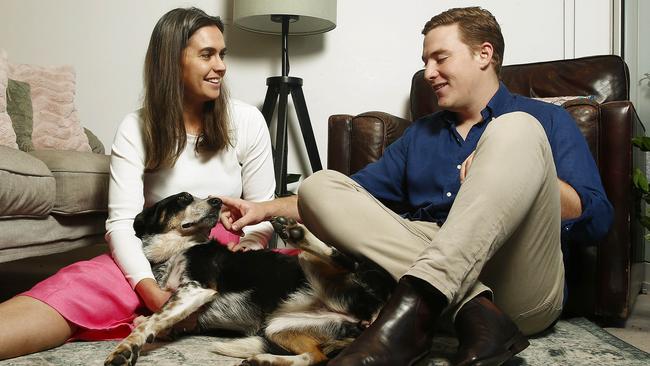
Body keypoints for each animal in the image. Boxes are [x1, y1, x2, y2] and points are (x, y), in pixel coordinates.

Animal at [105, 192, 394, 366]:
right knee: (316, 357)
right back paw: (263, 360)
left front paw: (124, 350)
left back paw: (297, 232)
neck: (176, 250)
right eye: (184, 198)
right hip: (279, 327)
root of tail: (373, 314)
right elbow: (149, 321)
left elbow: (150, 321)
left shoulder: (198, 287)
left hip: (312, 263)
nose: (216, 201)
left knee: (343, 260)